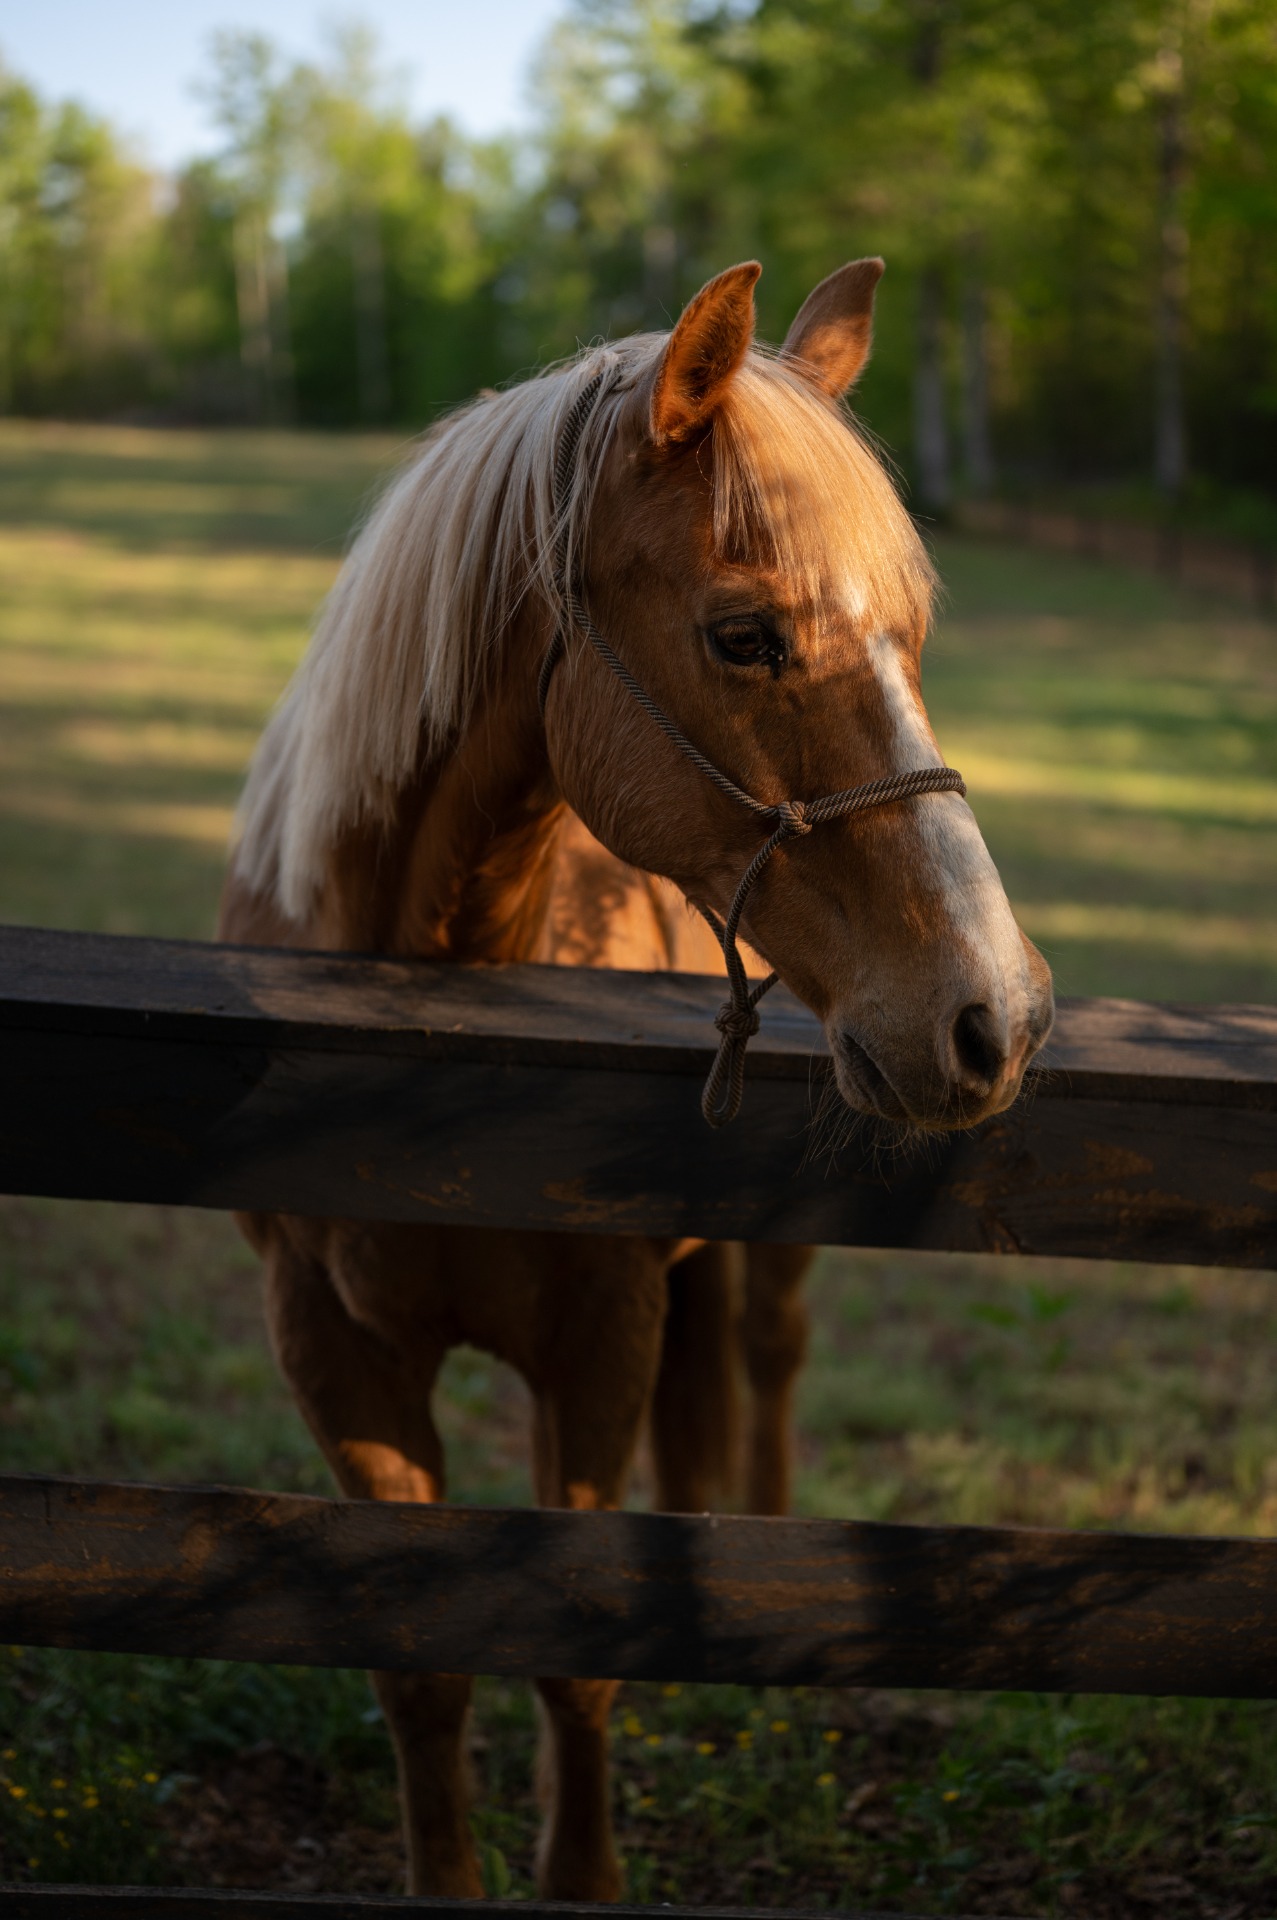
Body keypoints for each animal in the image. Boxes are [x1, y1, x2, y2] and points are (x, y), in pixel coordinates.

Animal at [219, 256, 1054, 1900]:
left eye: (913, 633)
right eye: (745, 637)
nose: (990, 1014)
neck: (429, 1025)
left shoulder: (595, 1342)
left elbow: (574, 1650)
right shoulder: (333, 1357)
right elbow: (421, 1668)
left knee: (766, 1363)